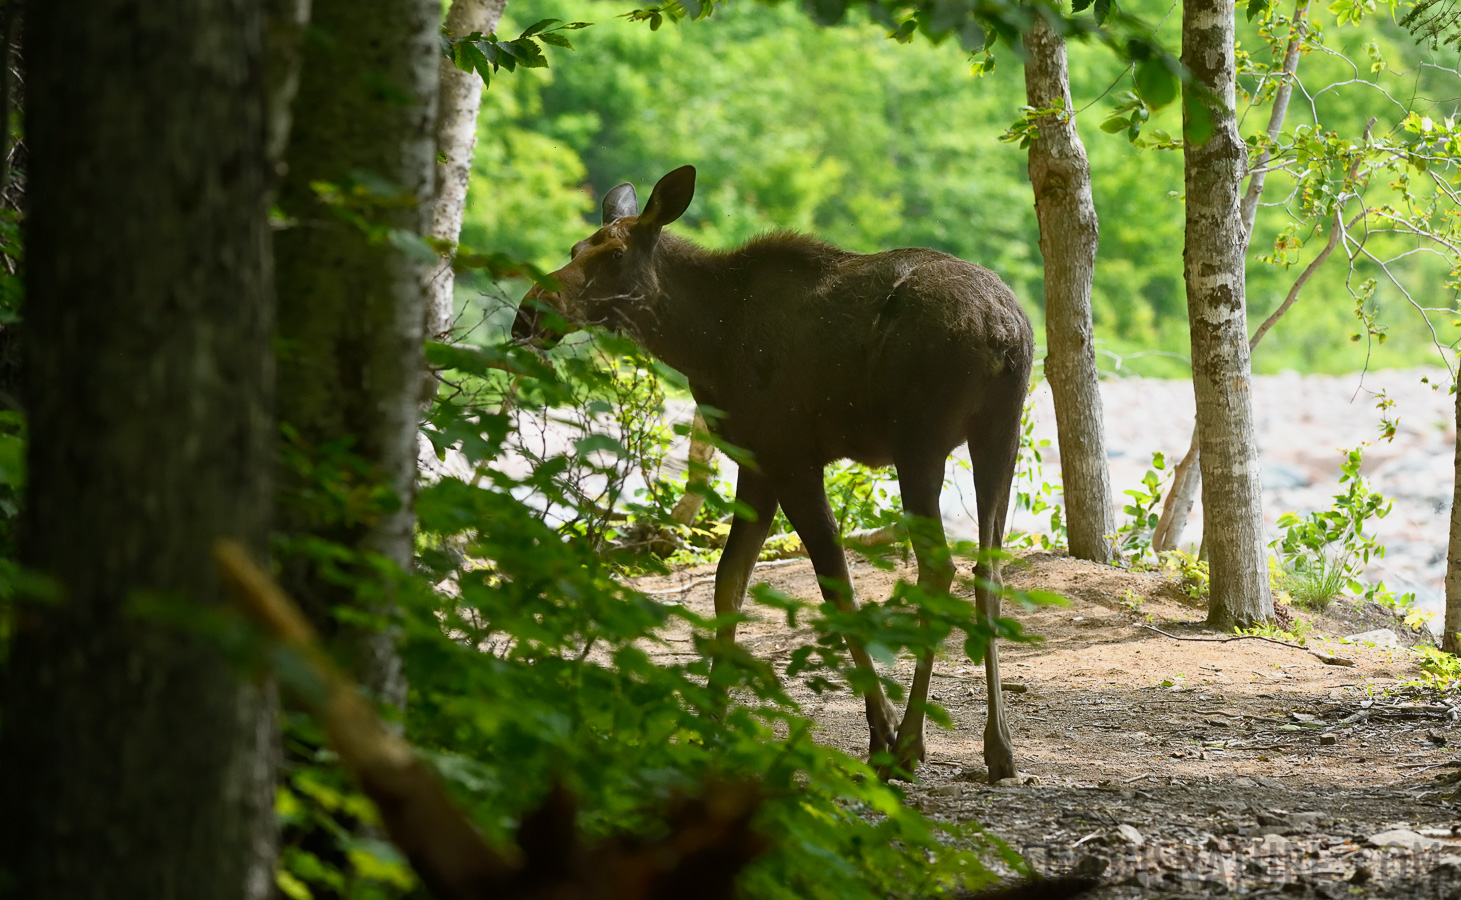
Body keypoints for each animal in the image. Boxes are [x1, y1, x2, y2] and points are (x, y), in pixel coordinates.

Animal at [508, 167, 1034, 783]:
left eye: (614, 254)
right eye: (574, 248)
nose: (528, 314)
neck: (704, 343)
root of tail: (1004, 332)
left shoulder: (790, 458)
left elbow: (836, 589)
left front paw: (877, 732)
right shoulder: (755, 463)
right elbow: (728, 582)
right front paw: (711, 718)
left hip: (920, 444)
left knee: (939, 568)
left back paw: (908, 743)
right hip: (1000, 432)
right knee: (987, 569)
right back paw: (998, 746)